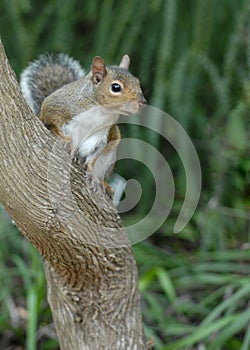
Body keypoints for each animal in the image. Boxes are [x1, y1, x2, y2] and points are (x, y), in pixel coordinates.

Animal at [21, 52, 147, 194]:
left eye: (137, 82)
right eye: (116, 87)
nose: (143, 102)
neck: (101, 112)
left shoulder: (102, 136)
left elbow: (94, 157)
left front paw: (91, 174)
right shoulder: (54, 108)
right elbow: (54, 126)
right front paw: (66, 142)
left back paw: (104, 183)